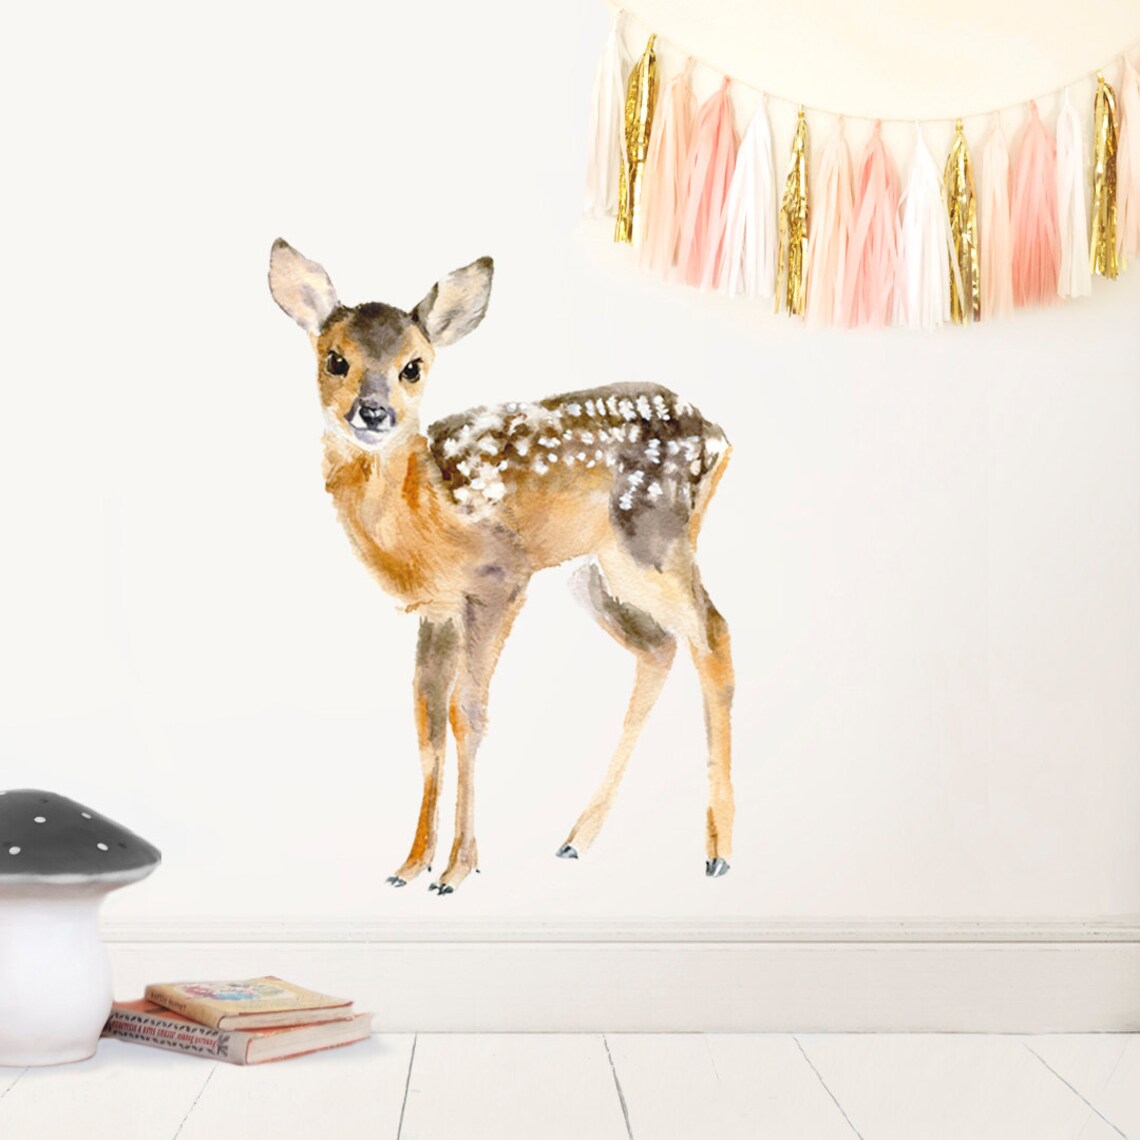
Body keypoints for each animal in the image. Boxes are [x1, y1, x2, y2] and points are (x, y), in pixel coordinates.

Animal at [268, 239, 735, 894]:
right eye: (336, 360)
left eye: (414, 366)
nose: (374, 412)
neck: (427, 506)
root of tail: (721, 437)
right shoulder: (437, 610)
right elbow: (427, 721)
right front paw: (409, 865)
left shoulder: (498, 582)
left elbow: (468, 713)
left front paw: (457, 870)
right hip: (595, 573)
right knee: (660, 646)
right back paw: (576, 838)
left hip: (653, 542)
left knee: (712, 633)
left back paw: (718, 851)